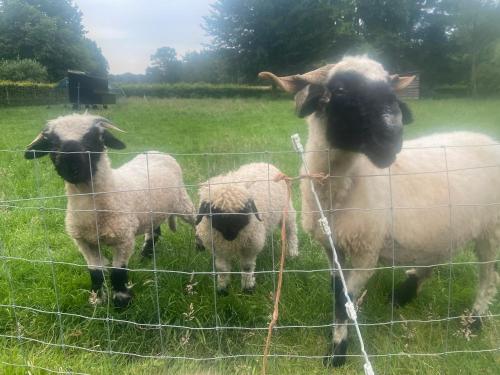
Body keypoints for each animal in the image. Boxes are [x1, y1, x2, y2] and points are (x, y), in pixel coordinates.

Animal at [24, 114, 195, 308]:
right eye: (53, 143)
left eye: (94, 139)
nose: (71, 164)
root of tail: (157, 152)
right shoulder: (84, 242)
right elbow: (96, 273)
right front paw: (97, 300)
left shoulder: (123, 239)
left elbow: (118, 273)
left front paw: (121, 302)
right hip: (152, 211)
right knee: (154, 232)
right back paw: (145, 255)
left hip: (183, 203)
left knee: (196, 220)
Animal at [194, 163, 296, 296]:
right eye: (215, 213)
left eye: (243, 212)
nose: (230, 235)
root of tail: (265, 163)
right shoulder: (218, 247)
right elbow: (222, 268)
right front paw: (222, 288)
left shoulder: (250, 246)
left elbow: (247, 266)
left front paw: (248, 287)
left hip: (287, 210)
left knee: (291, 231)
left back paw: (293, 252)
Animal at [260, 55, 500, 368]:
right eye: (340, 90)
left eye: (390, 92)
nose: (392, 137)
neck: (343, 186)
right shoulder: (333, 248)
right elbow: (337, 293)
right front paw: (336, 338)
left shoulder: (367, 250)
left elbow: (345, 300)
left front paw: (337, 352)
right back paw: (404, 293)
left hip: (491, 229)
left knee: (488, 275)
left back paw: (475, 321)